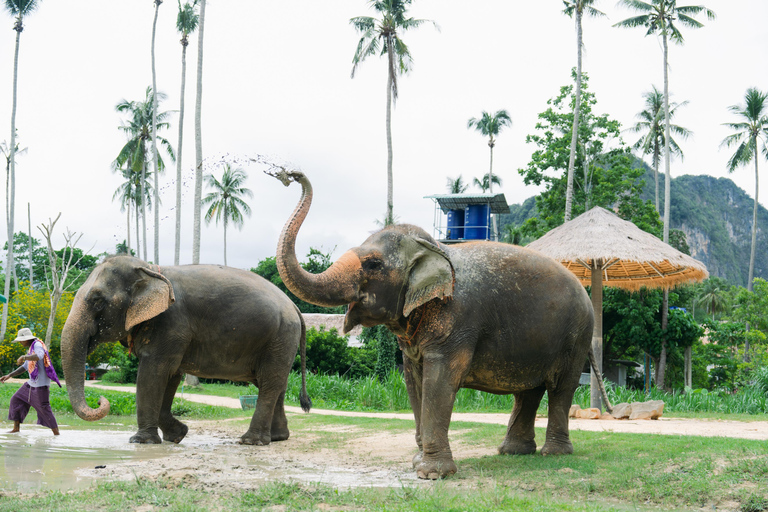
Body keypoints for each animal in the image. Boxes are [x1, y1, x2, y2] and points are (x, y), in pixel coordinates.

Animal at [60, 255, 311, 445]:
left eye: (97, 300)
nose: (100, 400)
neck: (151, 270)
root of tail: (294, 306)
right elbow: (170, 376)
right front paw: (178, 436)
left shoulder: (170, 323)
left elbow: (153, 373)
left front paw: (141, 441)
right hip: (279, 340)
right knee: (275, 383)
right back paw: (277, 437)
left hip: (280, 337)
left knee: (269, 383)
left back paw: (250, 441)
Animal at [269, 170, 599, 479]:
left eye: (374, 264)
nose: (293, 175)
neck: (434, 248)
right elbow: (413, 380)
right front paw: (419, 463)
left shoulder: (458, 320)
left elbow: (440, 379)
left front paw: (432, 473)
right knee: (529, 391)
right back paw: (513, 452)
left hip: (578, 334)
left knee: (561, 387)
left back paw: (554, 454)